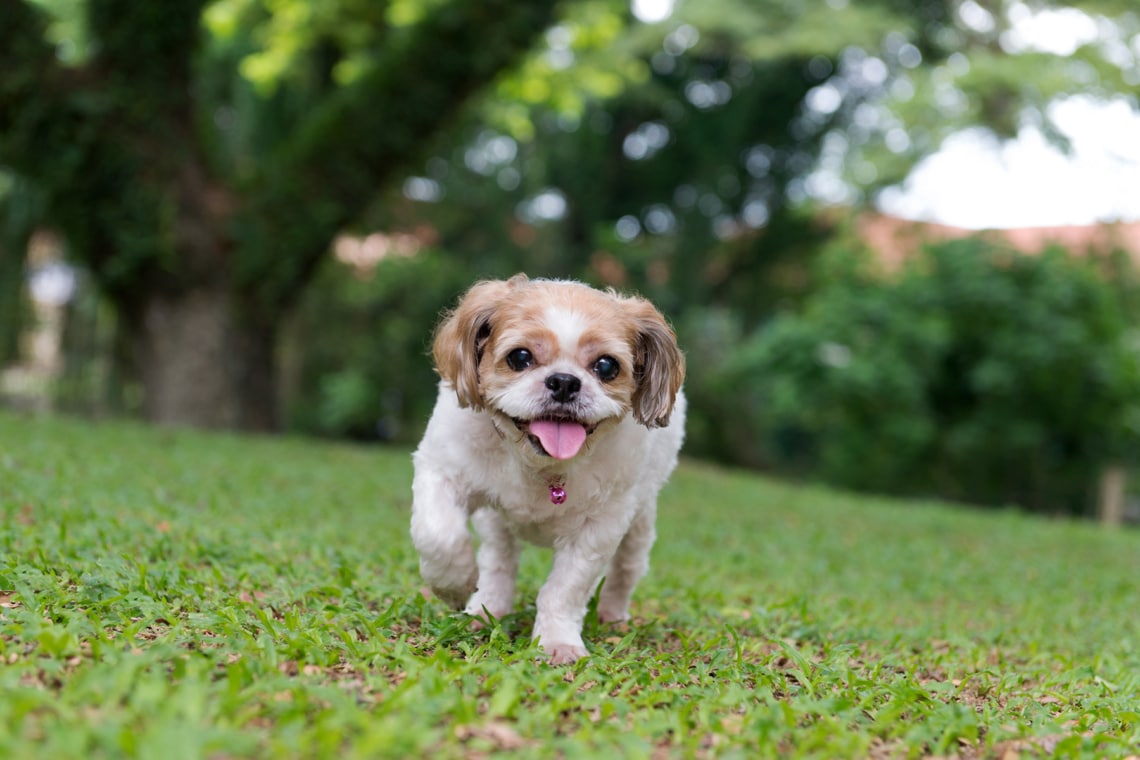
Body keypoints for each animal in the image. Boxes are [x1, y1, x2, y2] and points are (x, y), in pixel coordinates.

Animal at [408, 274, 679, 665]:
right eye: (520, 357)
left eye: (607, 366)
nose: (564, 381)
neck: (539, 466)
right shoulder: (442, 471)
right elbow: (439, 536)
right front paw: (455, 586)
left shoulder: (599, 527)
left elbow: (565, 589)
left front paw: (557, 641)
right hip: (496, 521)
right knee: (499, 559)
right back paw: (487, 607)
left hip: (639, 523)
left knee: (626, 570)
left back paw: (613, 616)